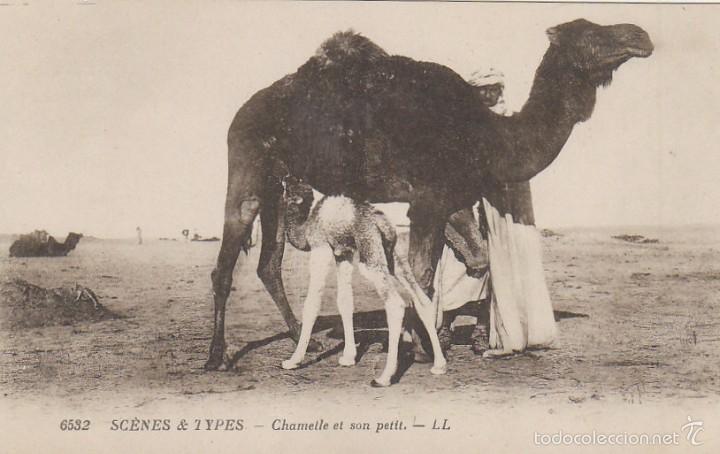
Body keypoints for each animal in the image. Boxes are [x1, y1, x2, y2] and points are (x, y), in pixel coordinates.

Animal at [280, 177, 446, 386]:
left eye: (288, 188)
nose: (283, 179)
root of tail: (382, 222)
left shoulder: (321, 247)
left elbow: (311, 305)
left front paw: (293, 361)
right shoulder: (343, 253)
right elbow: (345, 302)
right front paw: (348, 357)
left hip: (370, 257)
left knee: (395, 304)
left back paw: (384, 377)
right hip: (392, 256)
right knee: (421, 299)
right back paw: (439, 365)